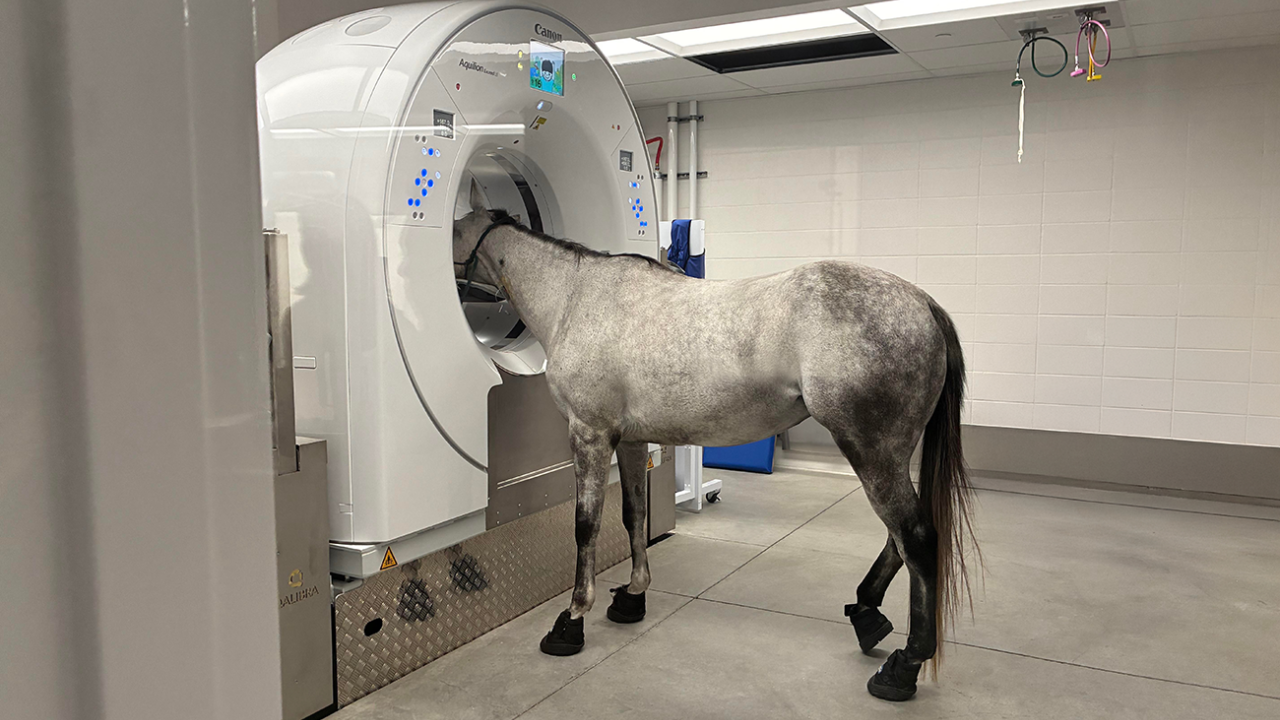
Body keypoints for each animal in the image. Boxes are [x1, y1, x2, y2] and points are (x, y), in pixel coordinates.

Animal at [452, 181, 977, 701]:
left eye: (454, 230)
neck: (575, 299)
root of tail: (922, 303)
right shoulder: (629, 442)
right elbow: (634, 516)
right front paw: (633, 596)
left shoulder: (589, 434)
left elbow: (585, 526)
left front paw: (573, 619)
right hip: (890, 455)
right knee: (899, 537)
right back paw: (867, 613)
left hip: (871, 451)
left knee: (916, 537)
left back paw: (904, 666)